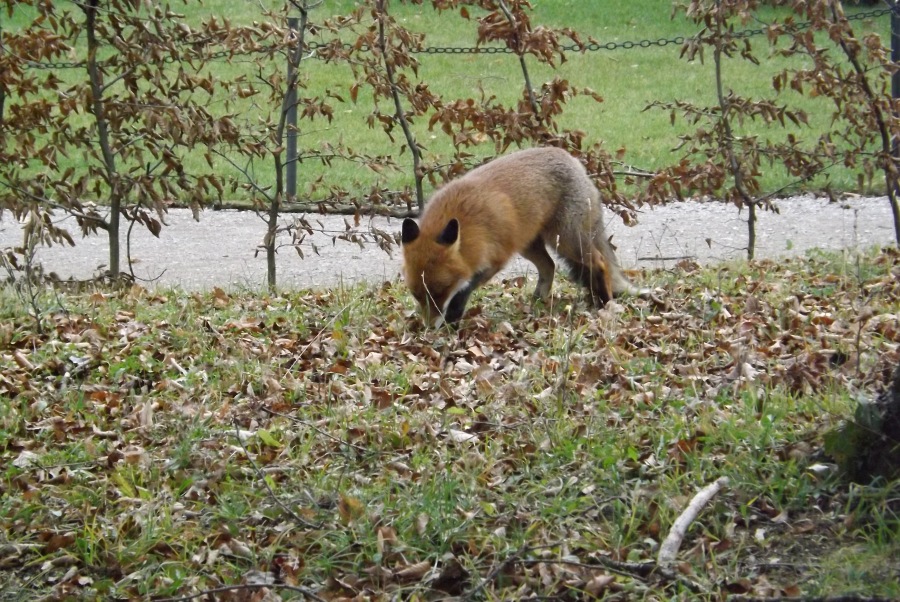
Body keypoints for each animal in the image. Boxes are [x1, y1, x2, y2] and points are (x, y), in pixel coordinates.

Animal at [400, 146, 640, 327]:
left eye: (440, 292)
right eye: (416, 295)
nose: (429, 327)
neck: (469, 226)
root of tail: (573, 160)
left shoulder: (496, 259)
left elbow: (463, 291)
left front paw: (452, 319)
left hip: (567, 240)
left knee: (599, 262)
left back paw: (605, 303)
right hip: (529, 244)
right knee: (549, 267)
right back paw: (536, 303)